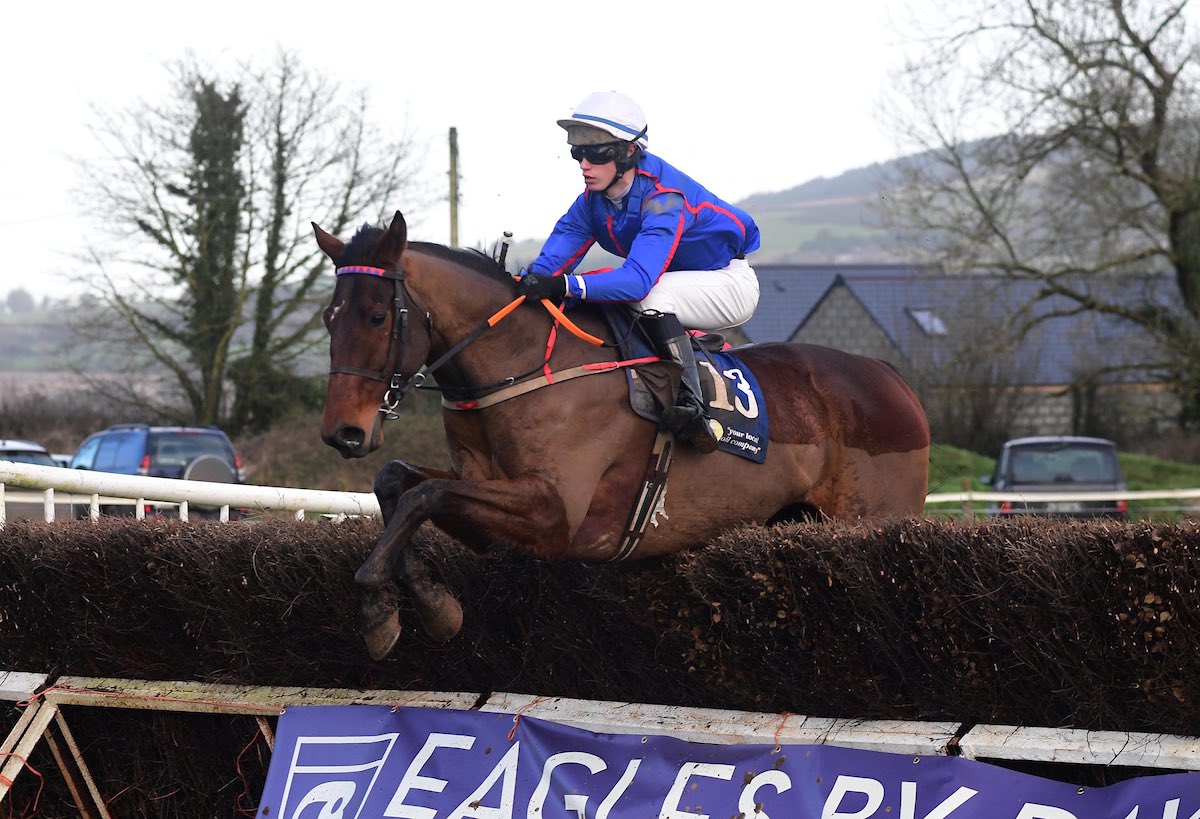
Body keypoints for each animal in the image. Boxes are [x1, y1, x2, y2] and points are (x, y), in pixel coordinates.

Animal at [314, 208, 931, 658]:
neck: (521, 366)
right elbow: (400, 483)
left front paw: (382, 608)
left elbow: (424, 494)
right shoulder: (484, 494)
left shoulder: (554, 515)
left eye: (376, 316)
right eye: (328, 317)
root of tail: (890, 377)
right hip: (793, 519)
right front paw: (427, 602)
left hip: (870, 520)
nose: (343, 433)